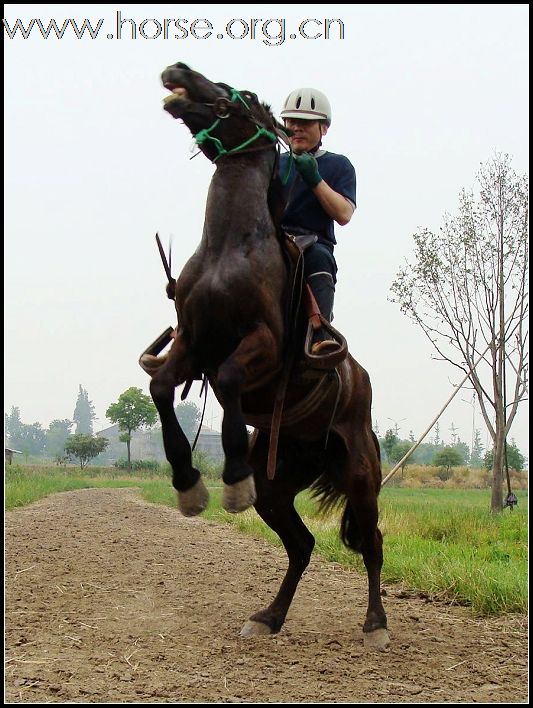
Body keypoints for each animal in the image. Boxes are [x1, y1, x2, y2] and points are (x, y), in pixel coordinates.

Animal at [139, 63, 388, 648]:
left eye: (244, 95)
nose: (177, 70)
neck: (230, 248)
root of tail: (359, 378)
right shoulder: (192, 346)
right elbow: (160, 388)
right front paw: (189, 485)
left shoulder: (262, 347)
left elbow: (230, 379)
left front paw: (230, 479)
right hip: (277, 486)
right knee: (301, 545)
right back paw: (269, 616)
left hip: (361, 473)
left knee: (372, 543)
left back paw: (375, 624)